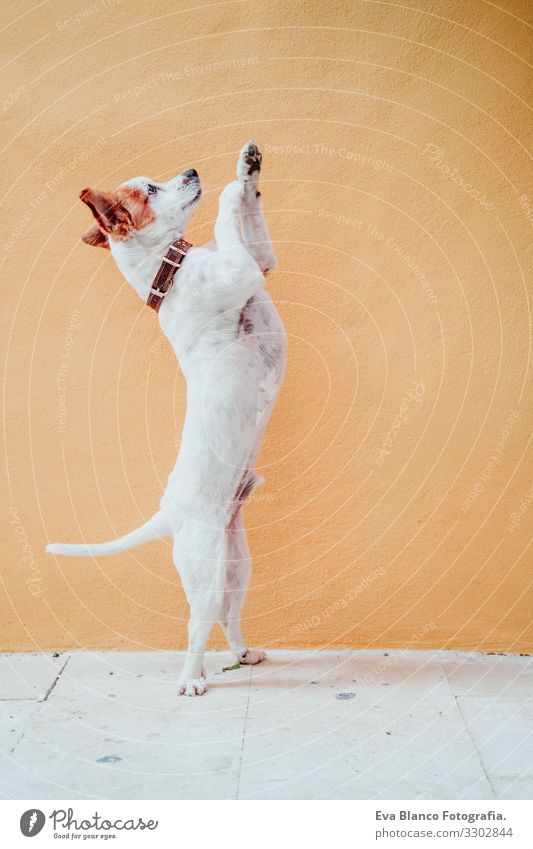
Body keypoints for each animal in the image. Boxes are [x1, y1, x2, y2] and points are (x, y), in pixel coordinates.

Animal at [45, 141, 286, 696]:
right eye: (151, 189)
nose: (193, 169)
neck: (170, 272)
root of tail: (168, 513)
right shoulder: (242, 269)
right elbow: (227, 213)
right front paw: (231, 183)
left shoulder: (259, 263)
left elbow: (250, 215)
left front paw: (250, 166)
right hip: (202, 569)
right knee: (198, 624)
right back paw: (190, 680)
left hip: (235, 567)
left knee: (227, 616)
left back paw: (242, 653)